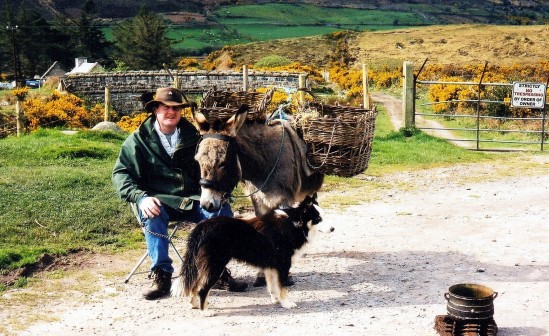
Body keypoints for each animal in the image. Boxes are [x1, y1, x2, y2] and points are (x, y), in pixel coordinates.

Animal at [171, 193, 334, 316]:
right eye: (318, 219)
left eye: (325, 216)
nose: (333, 229)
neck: (294, 223)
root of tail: (201, 227)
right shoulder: (283, 265)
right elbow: (282, 287)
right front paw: (286, 303)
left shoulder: (271, 266)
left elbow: (273, 286)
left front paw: (276, 301)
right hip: (215, 265)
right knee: (202, 289)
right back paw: (205, 311)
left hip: (202, 264)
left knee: (194, 284)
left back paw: (194, 305)